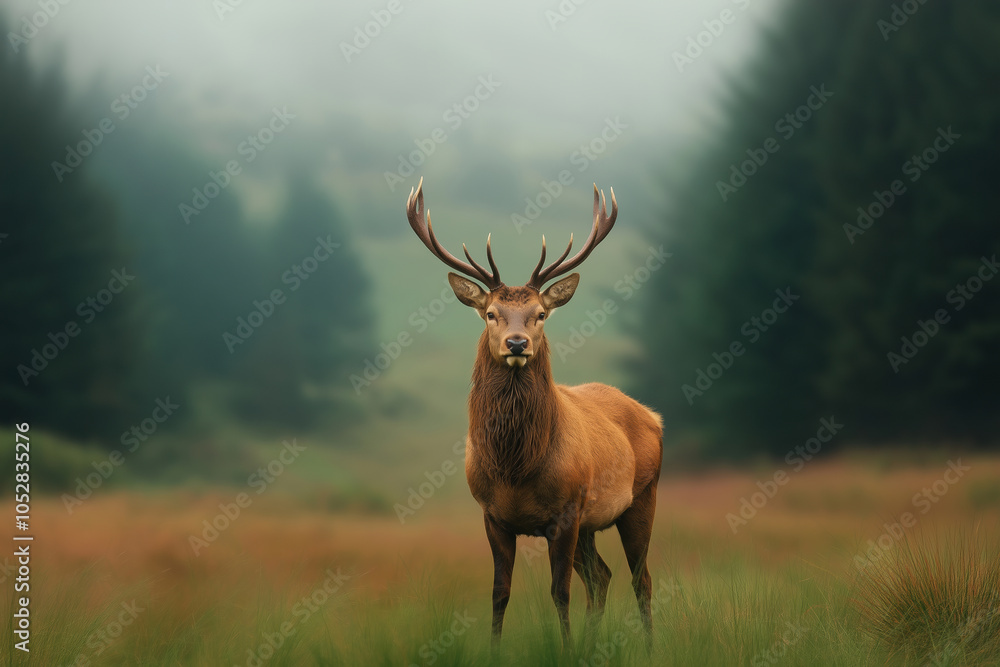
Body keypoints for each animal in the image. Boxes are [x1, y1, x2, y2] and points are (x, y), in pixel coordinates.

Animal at [404, 178, 663, 646]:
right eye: (491, 313)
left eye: (540, 314)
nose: (517, 343)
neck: (516, 467)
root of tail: (654, 417)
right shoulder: (493, 515)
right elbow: (499, 593)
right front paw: (496, 650)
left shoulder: (565, 512)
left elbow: (559, 592)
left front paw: (564, 649)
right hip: (591, 524)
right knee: (602, 577)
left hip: (641, 497)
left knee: (641, 579)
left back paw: (651, 649)